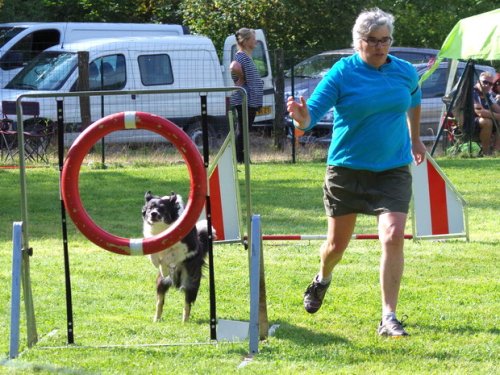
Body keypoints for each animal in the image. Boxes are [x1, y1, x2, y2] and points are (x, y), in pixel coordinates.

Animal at [142, 191, 212, 324]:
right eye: (149, 208)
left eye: (162, 209)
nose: (153, 214)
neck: (161, 228)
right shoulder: (150, 241)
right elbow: (153, 255)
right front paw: (157, 264)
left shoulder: (189, 247)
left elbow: (171, 255)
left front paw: (164, 267)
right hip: (161, 282)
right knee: (160, 302)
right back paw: (156, 319)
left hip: (190, 282)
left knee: (187, 304)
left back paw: (185, 321)